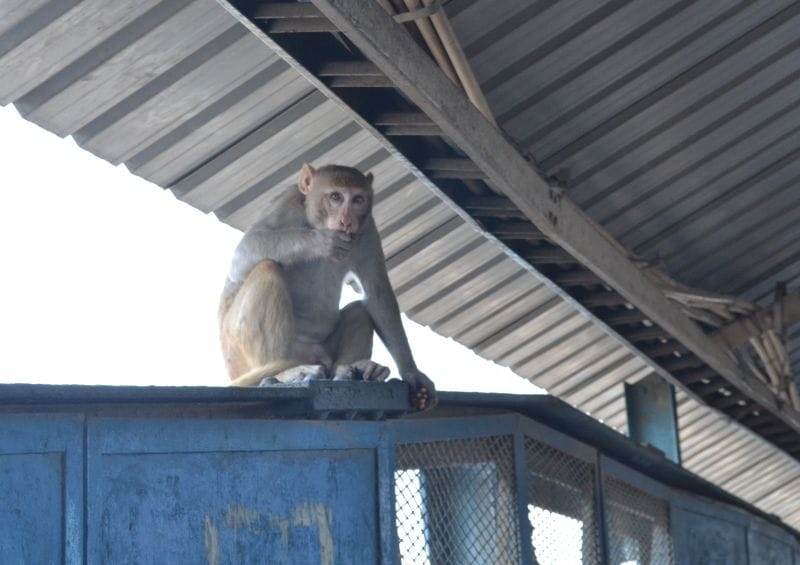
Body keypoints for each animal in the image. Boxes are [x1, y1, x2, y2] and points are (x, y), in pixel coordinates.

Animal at [218, 163, 435, 409]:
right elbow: (243, 255)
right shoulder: (285, 204)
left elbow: (377, 292)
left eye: (357, 199)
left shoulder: (367, 229)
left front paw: (412, 373)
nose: (346, 220)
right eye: (335, 197)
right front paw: (321, 241)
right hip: (238, 356)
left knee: (360, 311)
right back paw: (286, 373)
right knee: (266, 267)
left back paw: (353, 369)